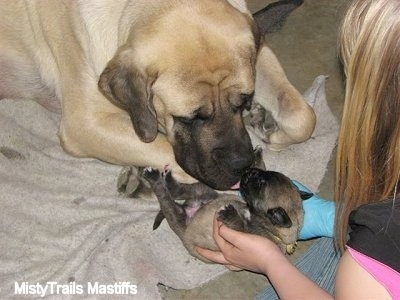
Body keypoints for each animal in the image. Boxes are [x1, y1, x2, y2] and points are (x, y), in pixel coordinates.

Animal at [142, 151, 310, 262]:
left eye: (260, 184)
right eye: (264, 176)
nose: (249, 171)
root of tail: (190, 208)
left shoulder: (244, 236)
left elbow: (238, 224)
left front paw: (230, 213)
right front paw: (257, 156)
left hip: (177, 214)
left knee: (165, 198)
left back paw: (154, 178)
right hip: (206, 190)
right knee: (180, 190)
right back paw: (168, 178)